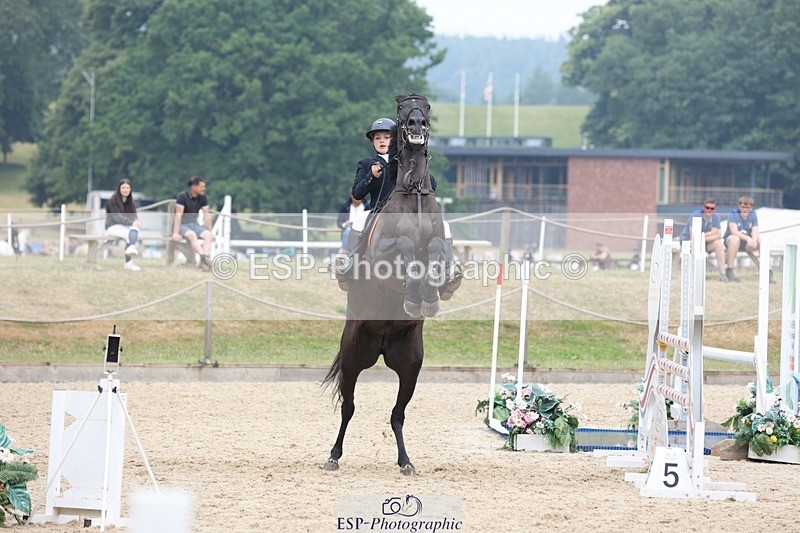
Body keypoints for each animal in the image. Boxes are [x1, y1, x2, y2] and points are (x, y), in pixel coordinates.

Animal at [322, 94, 450, 476]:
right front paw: (413, 289)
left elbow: (434, 251)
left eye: (426, 107)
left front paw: (428, 295)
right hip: (352, 356)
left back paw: (406, 461)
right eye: (403, 109)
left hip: (410, 365)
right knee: (348, 408)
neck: (414, 191)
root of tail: (379, 347)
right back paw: (333, 456)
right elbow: (406, 246)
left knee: (397, 415)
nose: (417, 126)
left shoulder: (441, 244)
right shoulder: (383, 251)